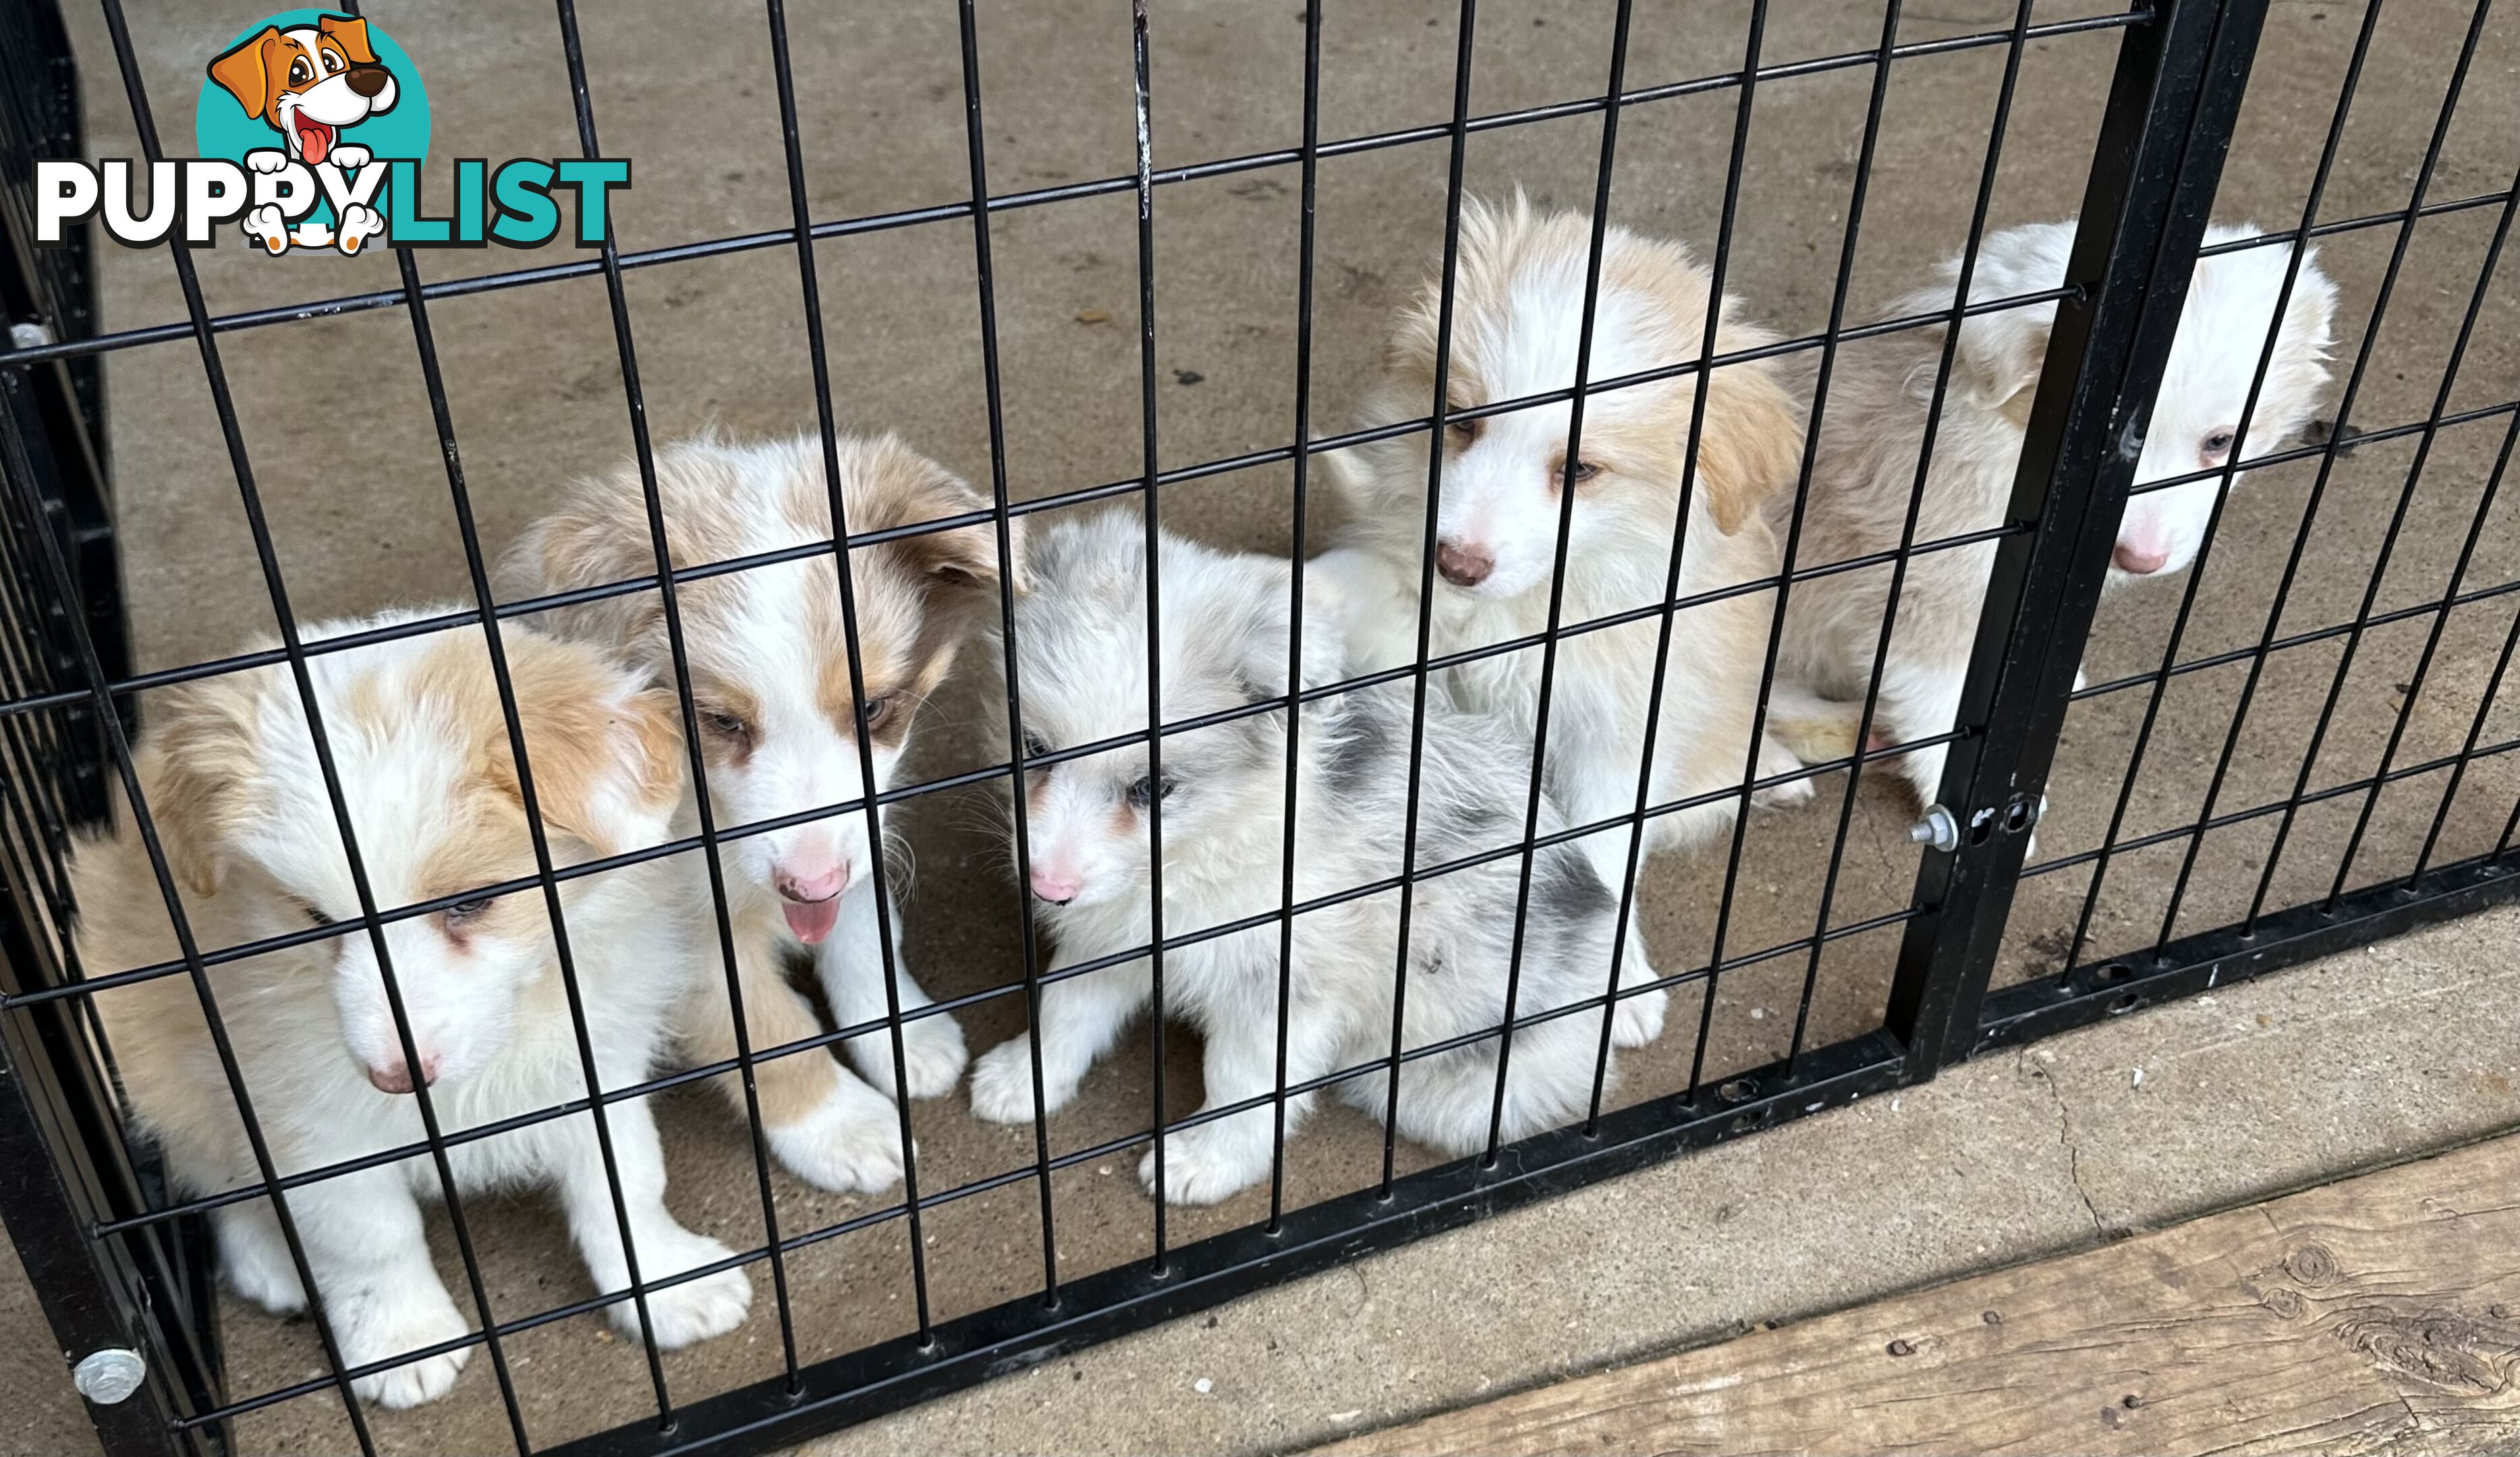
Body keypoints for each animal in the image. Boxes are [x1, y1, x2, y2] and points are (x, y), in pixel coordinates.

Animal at [76, 612, 746, 1411]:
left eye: (471, 902)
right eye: (314, 919)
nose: (396, 1078)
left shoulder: (594, 1067)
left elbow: (628, 1180)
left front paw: (668, 1282)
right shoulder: (312, 1121)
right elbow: (368, 1235)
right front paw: (402, 1339)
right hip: (152, 1058)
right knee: (214, 1173)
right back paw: (271, 1259)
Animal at [501, 431, 1013, 1189]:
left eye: (874, 707)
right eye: (720, 722)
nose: (810, 883)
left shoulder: (858, 832)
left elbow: (861, 932)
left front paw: (905, 1031)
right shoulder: (678, 943)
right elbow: (767, 1034)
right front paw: (841, 1127)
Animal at [962, 509, 1633, 1199]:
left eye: (1152, 788)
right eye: (1035, 748)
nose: (1047, 887)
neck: (1202, 849)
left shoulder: (1278, 990)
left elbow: (1241, 1085)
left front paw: (1203, 1162)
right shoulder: (1110, 931)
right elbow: (1065, 1006)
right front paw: (1020, 1079)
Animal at [1320, 192, 1814, 1003]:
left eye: (1578, 469)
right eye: (1462, 421)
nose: (1455, 563)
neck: (1532, 613)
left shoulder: (1618, 732)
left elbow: (1604, 852)